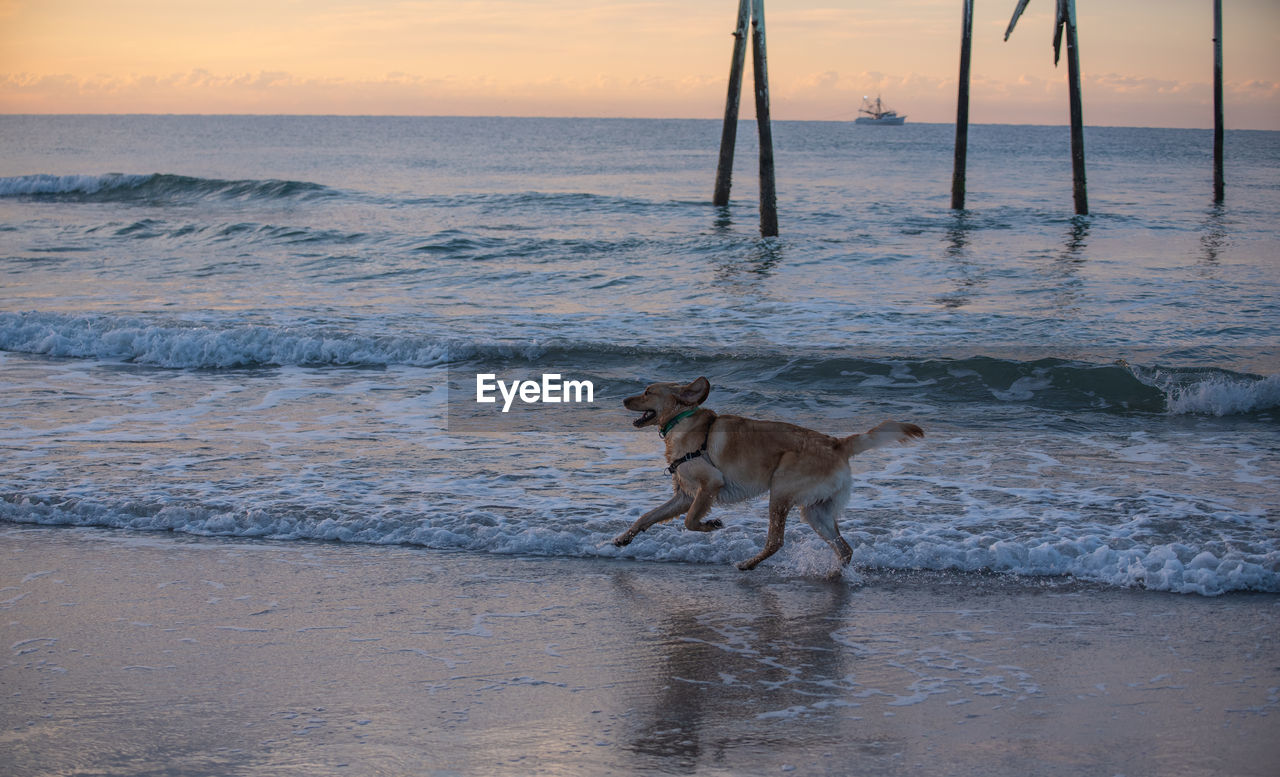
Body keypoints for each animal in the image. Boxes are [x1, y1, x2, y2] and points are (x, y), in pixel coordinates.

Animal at [609, 376, 921, 570]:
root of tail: (837, 443)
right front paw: (625, 538)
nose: (622, 399)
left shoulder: (709, 484)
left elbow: (689, 522)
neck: (681, 420)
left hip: (780, 490)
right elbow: (647, 516)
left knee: (776, 541)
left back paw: (748, 564)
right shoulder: (685, 495)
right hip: (816, 511)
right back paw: (834, 575)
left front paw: (711, 525)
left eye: (647, 392)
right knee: (844, 549)